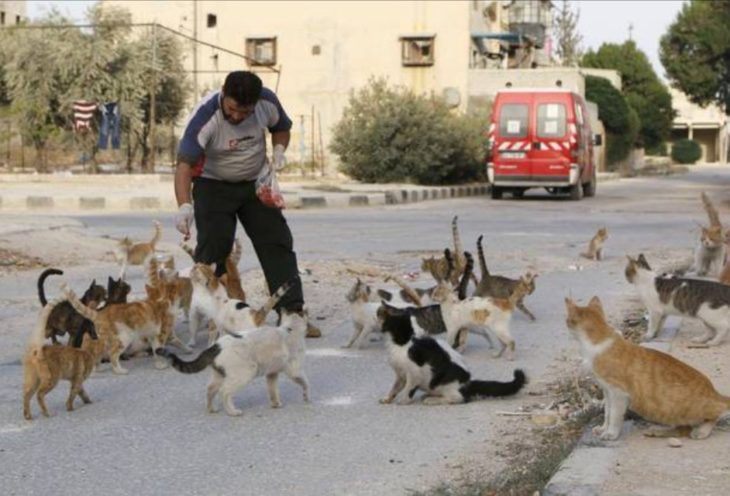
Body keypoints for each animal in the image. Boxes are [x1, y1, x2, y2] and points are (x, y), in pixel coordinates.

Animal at [158, 310, 308, 414]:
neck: (289, 329)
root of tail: (215, 346)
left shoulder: (272, 372)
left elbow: (273, 390)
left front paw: (276, 404)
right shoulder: (293, 370)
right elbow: (304, 383)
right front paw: (306, 398)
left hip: (219, 375)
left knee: (210, 389)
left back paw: (211, 409)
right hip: (247, 372)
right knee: (224, 392)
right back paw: (232, 412)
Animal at [376, 306, 524, 406]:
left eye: (389, 312)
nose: (380, 308)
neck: (404, 341)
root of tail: (467, 384)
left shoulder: (414, 373)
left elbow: (408, 389)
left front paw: (404, 400)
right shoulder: (400, 374)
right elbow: (395, 387)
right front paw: (387, 398)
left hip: (447, 385)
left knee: (458, 398)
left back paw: (433, 400)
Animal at [564, 296, 728, 440]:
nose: (565, 323)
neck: (598, 341)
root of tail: (715, 393)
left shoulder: (618, 393)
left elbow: (614, 415)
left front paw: (611, 433)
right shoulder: (607, 390)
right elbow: (607, 412)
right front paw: (603, 428)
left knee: (716, 415)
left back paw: (701, 431)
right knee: (683, 428)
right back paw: (657, 431)